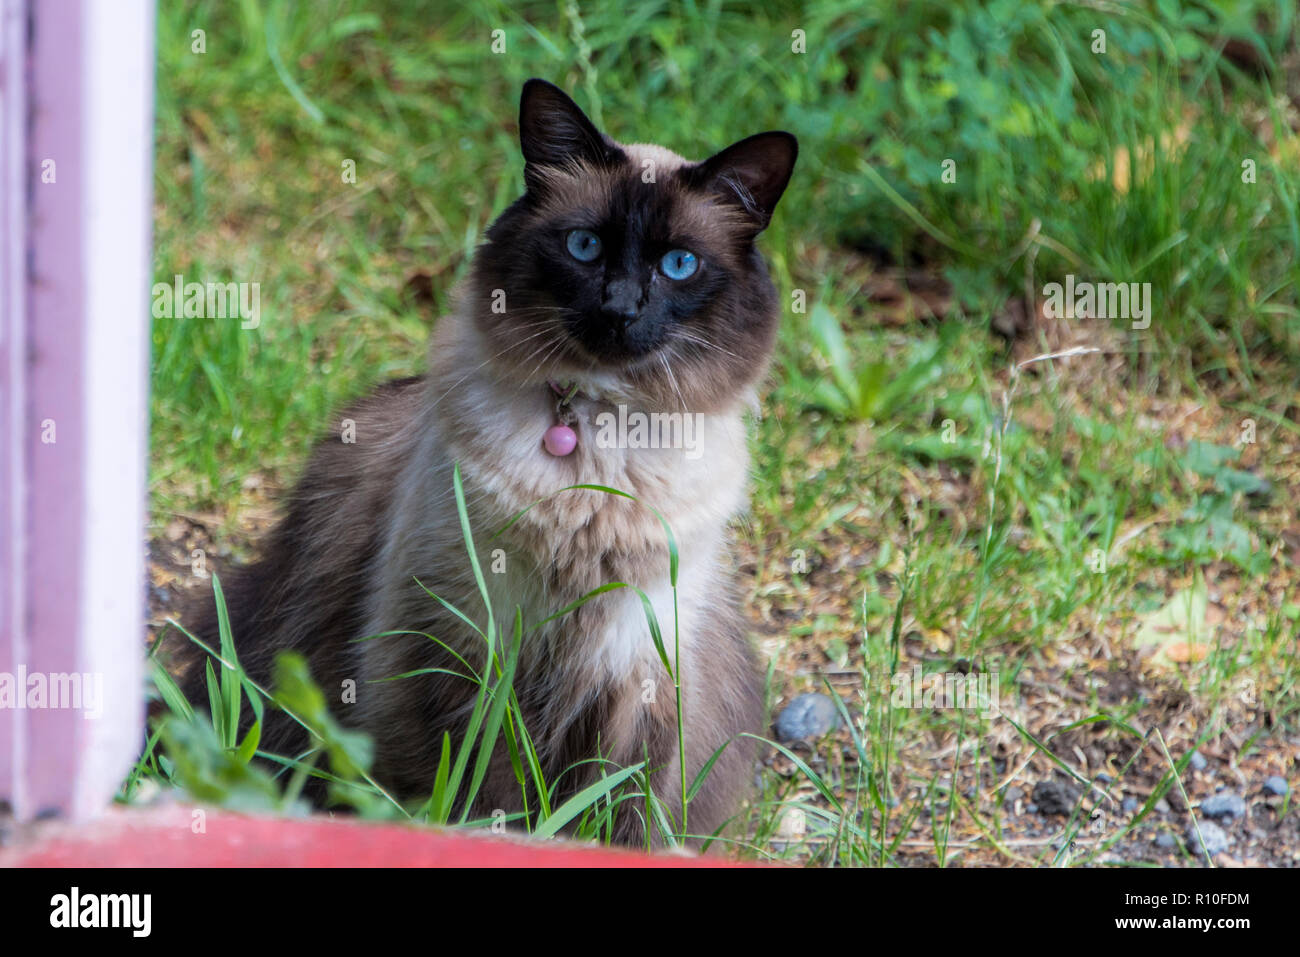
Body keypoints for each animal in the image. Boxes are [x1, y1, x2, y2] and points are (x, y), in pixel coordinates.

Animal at [178, 80, 795, 842]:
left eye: (679, 264)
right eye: (585, 246)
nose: (620, 309)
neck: (595, 442)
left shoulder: (632, 672)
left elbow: (614, 809)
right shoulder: (471, 647)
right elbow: (488, 789)